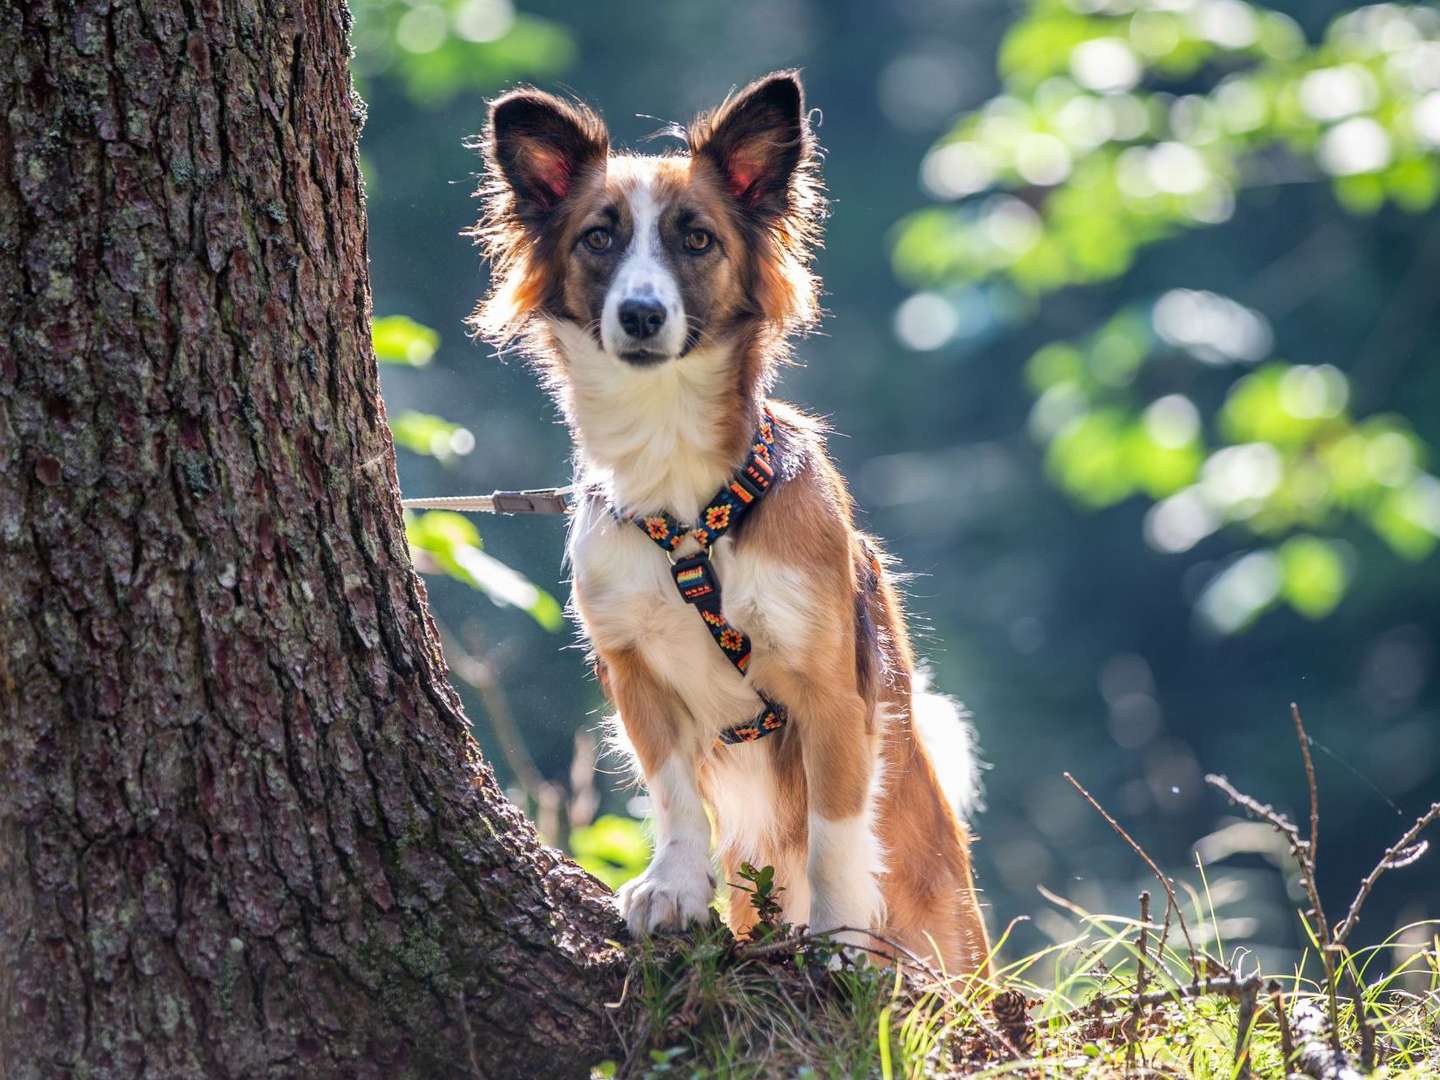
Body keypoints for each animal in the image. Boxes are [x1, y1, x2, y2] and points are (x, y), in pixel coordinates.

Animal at [472, 72, 990, 979]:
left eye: (698, 239)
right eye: (599, 237)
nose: (642, 315)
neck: (684, 499)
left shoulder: (830, 691)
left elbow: (833, 831)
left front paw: (839, 942)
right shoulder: (633, 667)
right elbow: (675, 791)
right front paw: (674, 888)